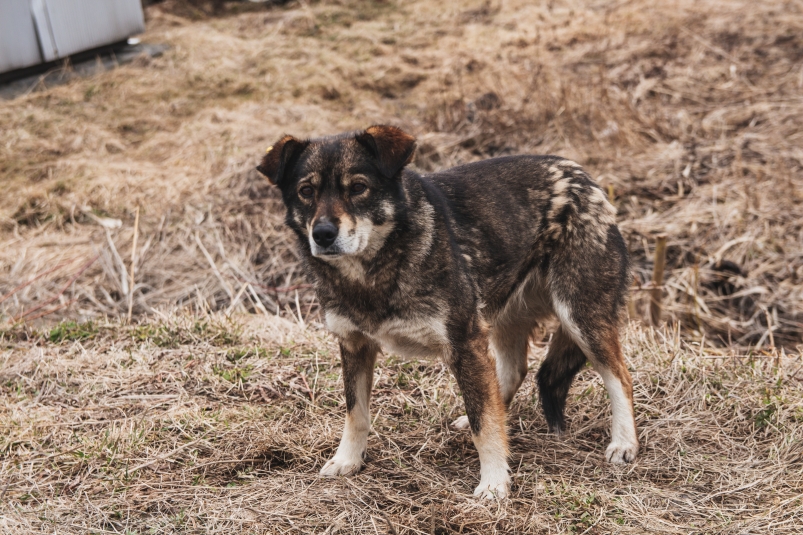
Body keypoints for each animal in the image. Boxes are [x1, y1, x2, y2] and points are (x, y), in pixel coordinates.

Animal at [258, 125, 640, 498]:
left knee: (619, 376)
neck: (373, 272)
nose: (323, 234)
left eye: (358, 188)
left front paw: (494, 483)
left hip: (579, 316)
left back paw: (624, 443)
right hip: (500, 316)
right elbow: (357, 413)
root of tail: (582, 174)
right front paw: (347, 460)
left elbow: (484, 424)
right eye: (306, 191)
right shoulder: (355, 345)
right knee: (510, 373)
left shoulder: (464, 342)